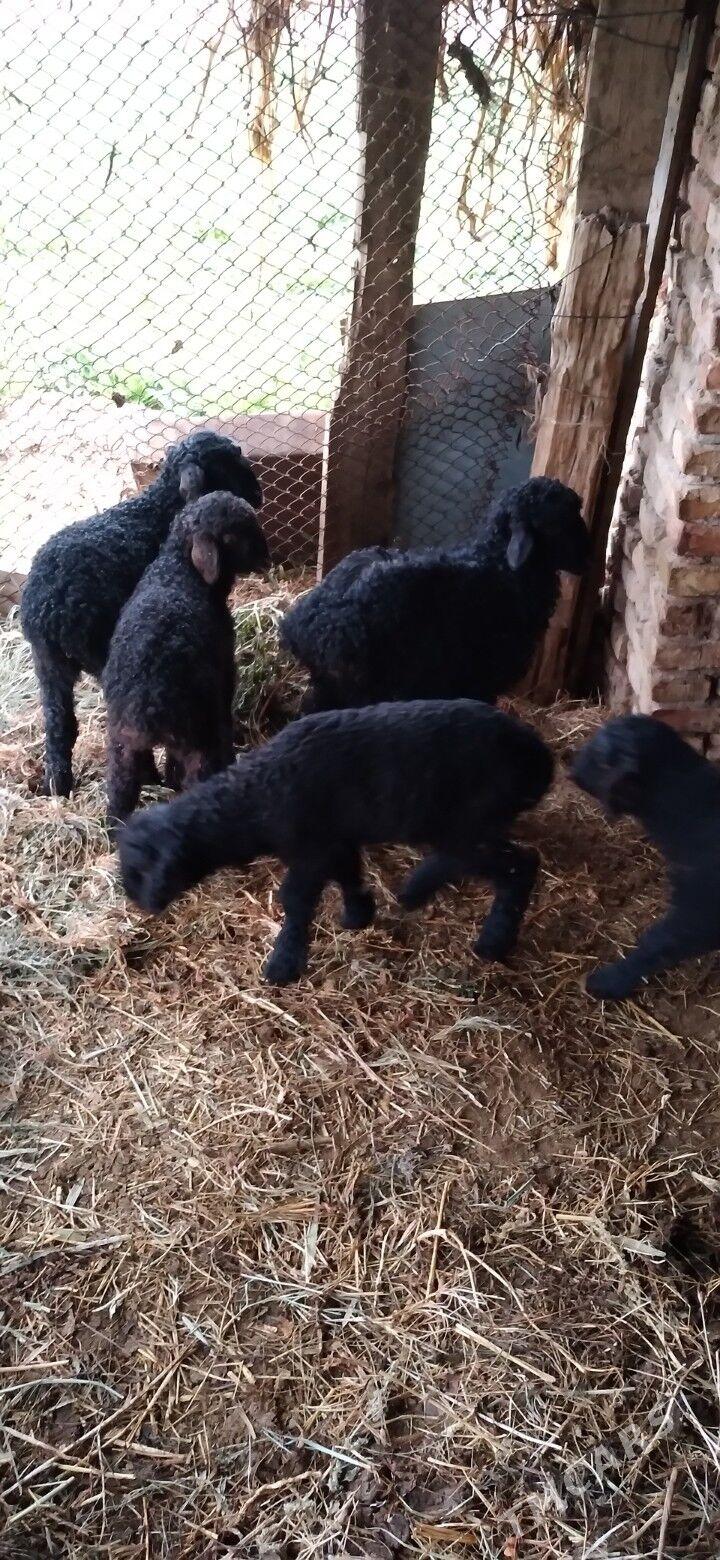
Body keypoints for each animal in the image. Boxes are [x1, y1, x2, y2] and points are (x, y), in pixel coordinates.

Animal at [20, 430, 262, 797]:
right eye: (227, 461)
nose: (256, 496)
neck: (157, 512)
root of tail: (45, 611)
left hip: (49, 665)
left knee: (59, 724)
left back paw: (57, 785)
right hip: (103, 651)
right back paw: (147, 773)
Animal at [102, 491, 270, 831]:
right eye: (235, 534)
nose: (267, 557)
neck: (178, 570)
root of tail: (146, 708)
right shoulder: (224, 677)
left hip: (123, 746)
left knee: (119, 794)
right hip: (197, 740)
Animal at [118, 698, 554, 985]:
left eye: (142, 868)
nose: (139, 903)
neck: (256, 797)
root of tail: (539, 759)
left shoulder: (311, 847)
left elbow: (295, 897)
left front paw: (283, 965)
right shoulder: (335, 838)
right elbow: (349, 874)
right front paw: (358, 914)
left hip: (469, 818)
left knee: (518, 864)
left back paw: (493, 941)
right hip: (461, 822)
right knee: (465, 858)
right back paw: (416, 890)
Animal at [280, 477, 589, 712]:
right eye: (560, 522)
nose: (588, 558)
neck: (499, 568)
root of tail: (302, 624)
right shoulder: (481, 676)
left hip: (332, 684)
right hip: (364, 684)